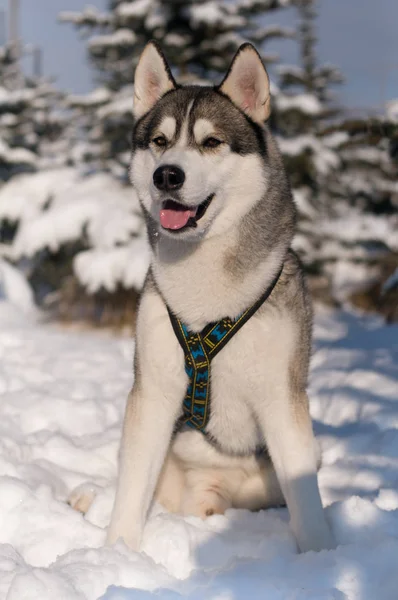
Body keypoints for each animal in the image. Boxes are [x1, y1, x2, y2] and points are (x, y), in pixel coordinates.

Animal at [104, 42, 334, 552]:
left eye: (211, 142)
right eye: (160, 141)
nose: (167, 175)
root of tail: (206, 493)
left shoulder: (282, 397)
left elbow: (308, 504)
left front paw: (322, 557)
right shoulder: (152, 391)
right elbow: (129, 490)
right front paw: (114, 552)